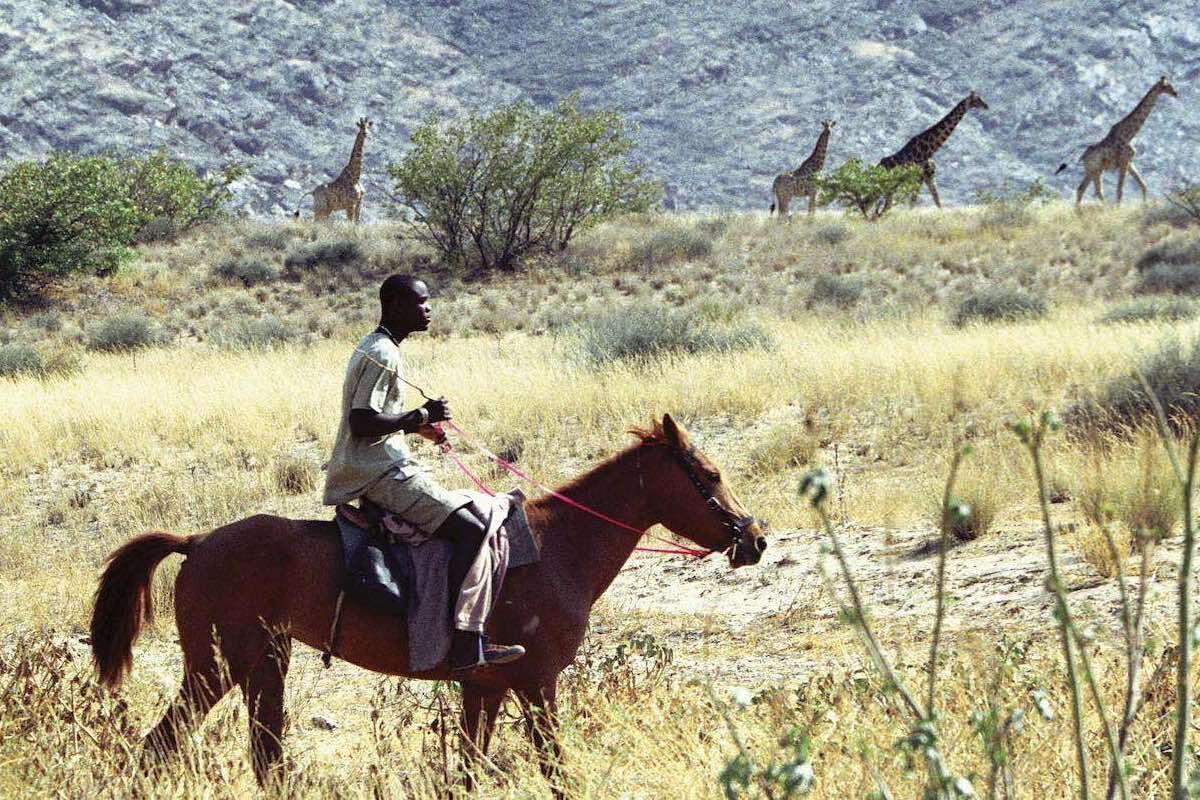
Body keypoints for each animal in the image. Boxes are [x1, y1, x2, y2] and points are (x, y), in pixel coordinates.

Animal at [91, 419, 768, 786]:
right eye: (709, 475)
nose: (755, 539)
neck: (557, 547)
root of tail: (198, 541)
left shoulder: (486, 688)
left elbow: (469, 767)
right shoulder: (537, 683)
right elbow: (555, 768)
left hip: (264, 665)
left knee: (265, 756)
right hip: (216, 667)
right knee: (160, 747)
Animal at [1056, 75, 1176, 206]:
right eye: (1167, 86)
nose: (1176, 93)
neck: (1129, 135)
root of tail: (1082, 157)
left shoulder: (1130, 162)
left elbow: (1143, 184)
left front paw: (1145, 205)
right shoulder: (1124, 162)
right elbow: (1120, 190)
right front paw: (1118, 208)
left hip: (1091, 171)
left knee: (1081, 189)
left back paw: (1079, 210)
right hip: (1096, 170)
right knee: (1097, 191)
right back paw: (1103, 208)